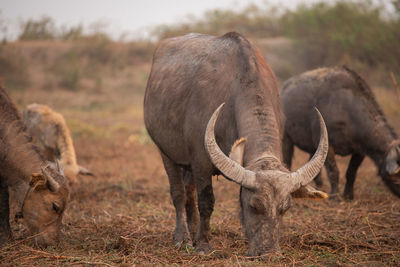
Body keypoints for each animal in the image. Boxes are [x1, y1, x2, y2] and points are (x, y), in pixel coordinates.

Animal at [144, 32, 328, 256]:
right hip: (166, 152)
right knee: (179, 193)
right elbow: (206, 201)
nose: (269, 253)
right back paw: (183, 238)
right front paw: (203, 245)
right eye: (254, 206)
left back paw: (193, 232)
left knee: (189, 193)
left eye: (285, 208)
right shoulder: (201, 161)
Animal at [282, 66, 400, 200]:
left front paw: (348, 196)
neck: (347, 110)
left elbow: (351, 172)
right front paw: (335, 196)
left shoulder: (360, 150)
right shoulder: (328, 145)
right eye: (397, 179)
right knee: (287, 159)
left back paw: (319, 185)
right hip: (287, 138)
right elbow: (334, 171)